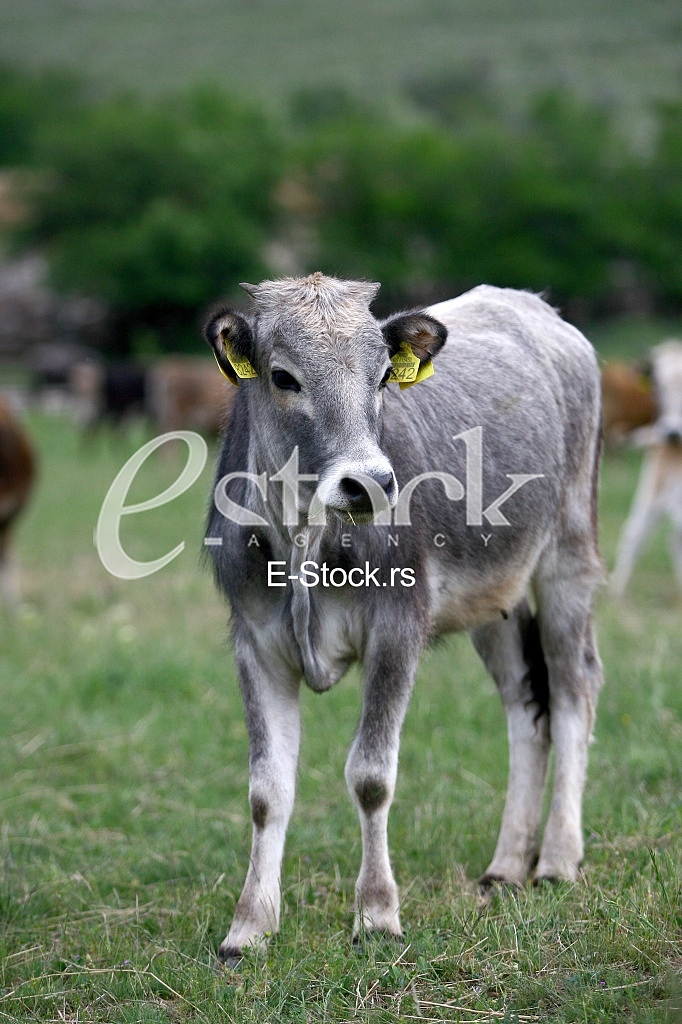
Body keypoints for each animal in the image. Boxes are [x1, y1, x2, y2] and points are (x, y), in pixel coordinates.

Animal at [203, 274, 604, 961]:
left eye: (383, 376)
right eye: (283, 377)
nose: (368, 483)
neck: (306, 540)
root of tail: (536, 307)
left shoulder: (398, 626)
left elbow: (371, 775)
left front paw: (376, 914)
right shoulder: (256, 642)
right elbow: (266, 790)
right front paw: (249, 927)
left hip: (568, 559)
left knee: (574, 692)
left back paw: (556, 859)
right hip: (494, 601)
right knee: (526, 708)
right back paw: (505, 865)